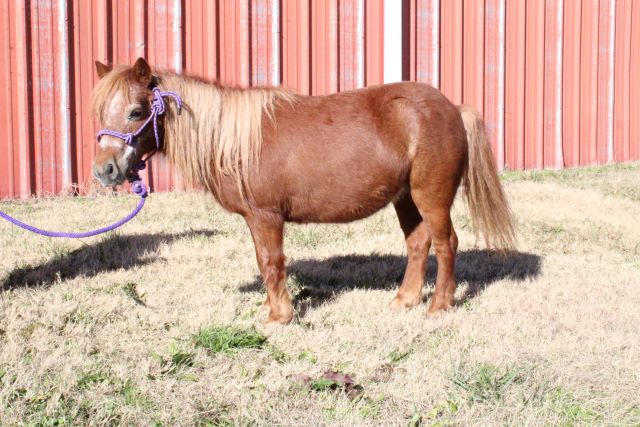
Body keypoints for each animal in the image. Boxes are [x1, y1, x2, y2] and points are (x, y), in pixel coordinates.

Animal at [92, 57, 516, 324]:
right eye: (99, 111)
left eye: (135, 111)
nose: (104, 170)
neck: (234, 141)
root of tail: (452, 108)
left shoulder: (265, 216)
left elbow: (271, 262)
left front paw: (279, 317)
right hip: (406, 198)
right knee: (417, 244)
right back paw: (404, 300)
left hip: (432, 196)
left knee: (446, 244)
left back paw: (439, 307)